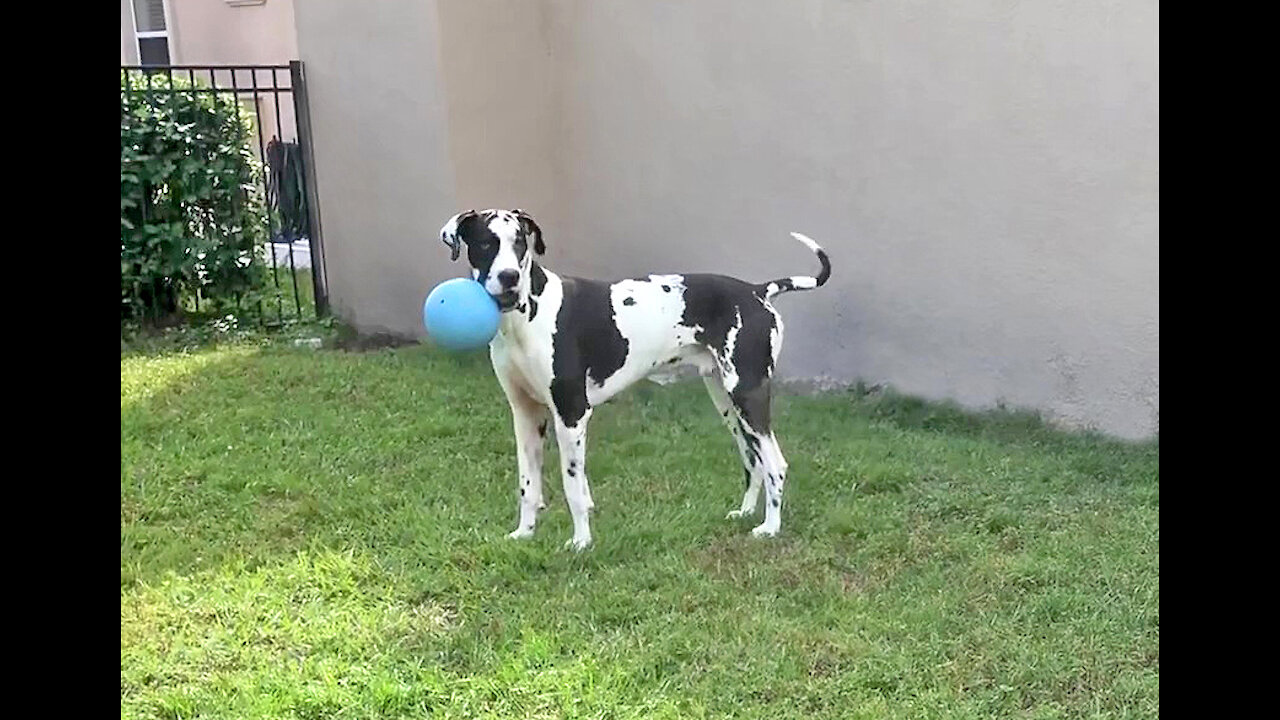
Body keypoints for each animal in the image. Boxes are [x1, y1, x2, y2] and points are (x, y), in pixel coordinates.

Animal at [440, 207, 829, 548]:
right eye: (486, 243)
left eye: (519, 242)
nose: (510, 277)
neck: (527, 315)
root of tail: (757, 290)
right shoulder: (525, 415)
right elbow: (528, 485)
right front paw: (525, 533)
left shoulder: (571, 416)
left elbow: (573, 488)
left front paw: (581, 542)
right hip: (726, 402)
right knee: (753, 460)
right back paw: (747, 512)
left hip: (747, 398)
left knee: (775, 464)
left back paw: (770, 527)